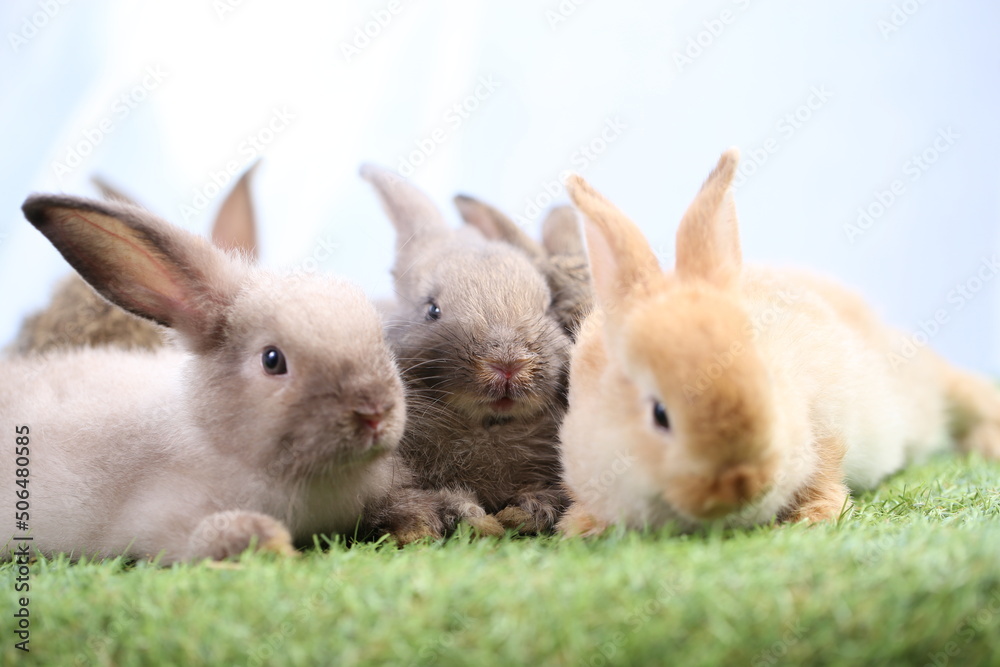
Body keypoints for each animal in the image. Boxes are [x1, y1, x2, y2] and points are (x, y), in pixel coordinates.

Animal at [0, 192, 446, 564]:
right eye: (272, 360)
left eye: (380, 338)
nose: (374, 412)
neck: (216, 436)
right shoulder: (165, 522)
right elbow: (213, 535)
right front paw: (276, 544)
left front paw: (421, 525)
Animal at [364, 164, 576, 536]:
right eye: (432, 310)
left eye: (549, 307)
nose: (508, 364)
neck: (489, 425)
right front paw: (472, 519)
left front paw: (520, 513)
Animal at [560, 149, 996, 536]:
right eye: (660, 415)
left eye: (767, 383)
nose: (741, 481)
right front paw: (581, 528)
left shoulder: (825, 423)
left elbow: (825, 470)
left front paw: (815, 517)